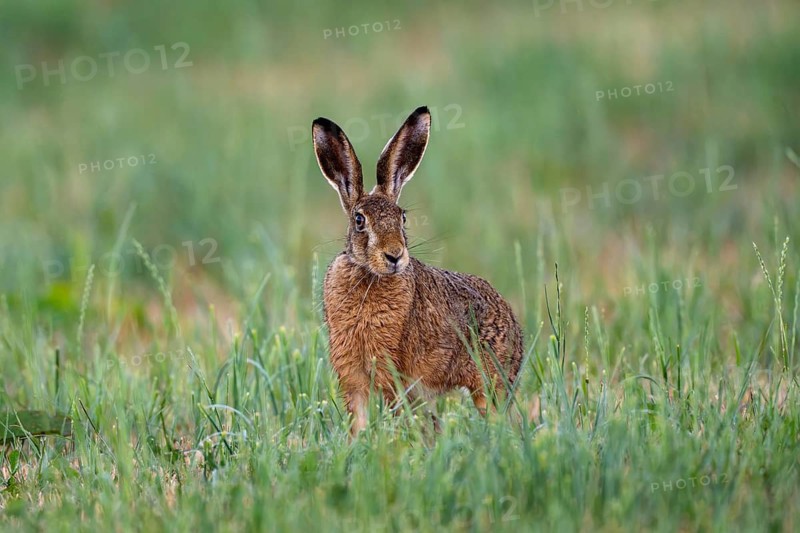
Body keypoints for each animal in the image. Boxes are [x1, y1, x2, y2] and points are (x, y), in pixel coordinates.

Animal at [312, 106, 524, 434]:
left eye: (402, 218)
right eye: (359, 220)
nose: (395, 256)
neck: (368, 275)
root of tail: (516, 329)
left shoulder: (390, 368)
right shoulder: (352, 372)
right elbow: (358, 416)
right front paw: (358, 442)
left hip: (488, 382)